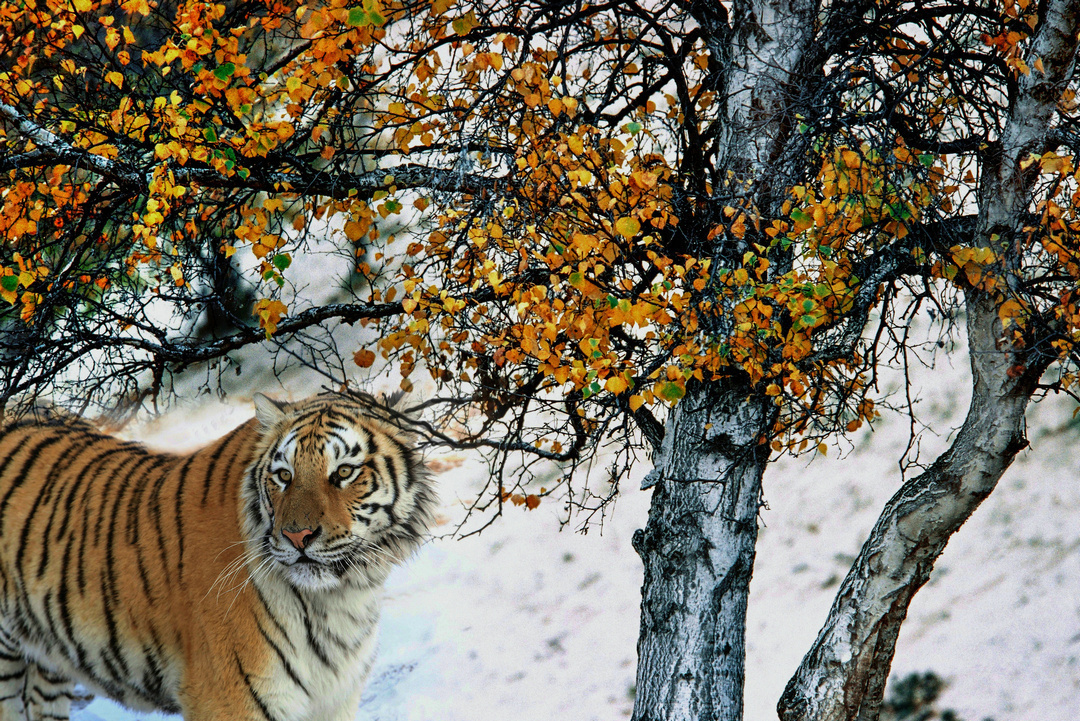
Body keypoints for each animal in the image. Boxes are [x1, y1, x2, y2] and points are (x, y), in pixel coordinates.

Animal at [0, 395, 434, 721]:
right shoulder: (227, 700)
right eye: (284, 475)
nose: (297, 536)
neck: (341, 597)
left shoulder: (335, 700)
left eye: (344, 472)